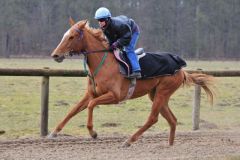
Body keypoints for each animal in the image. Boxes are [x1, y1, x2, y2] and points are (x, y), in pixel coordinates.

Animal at [48, 18, 214, 147]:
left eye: (72, 37)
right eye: (65, 35)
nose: (55, 55)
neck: (103, 64)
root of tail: (180, 68)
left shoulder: (115, 96)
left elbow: (91, 105)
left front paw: (93, 132)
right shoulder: (91, 94)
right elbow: (73, 110)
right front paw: (53, 133)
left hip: (163, 91)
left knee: (153, 118)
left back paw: (129, 140)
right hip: (156, 94)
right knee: (172, 120)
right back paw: (170, 145)